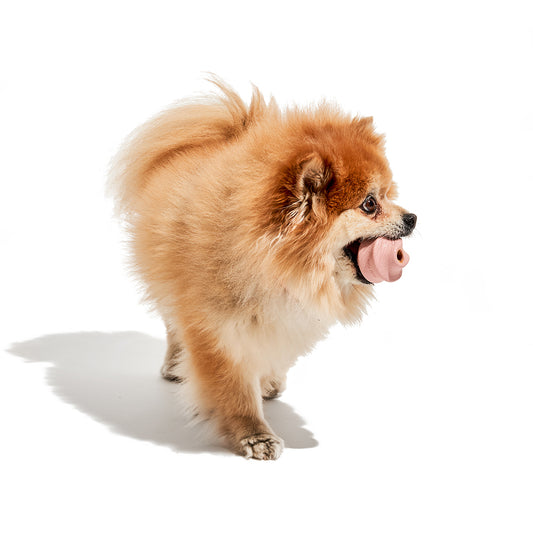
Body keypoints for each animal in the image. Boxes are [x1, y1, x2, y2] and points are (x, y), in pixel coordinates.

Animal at [109, 77, 417, 459]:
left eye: (389, 194)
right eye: (370, 204)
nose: (413, 217)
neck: (279, 269)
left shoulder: (285, 320)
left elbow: (275, 353)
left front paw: (268, 381)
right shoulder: (217, 332)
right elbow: (234, 389)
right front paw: (254, 435)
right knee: (173, 326)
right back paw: (174, 363)